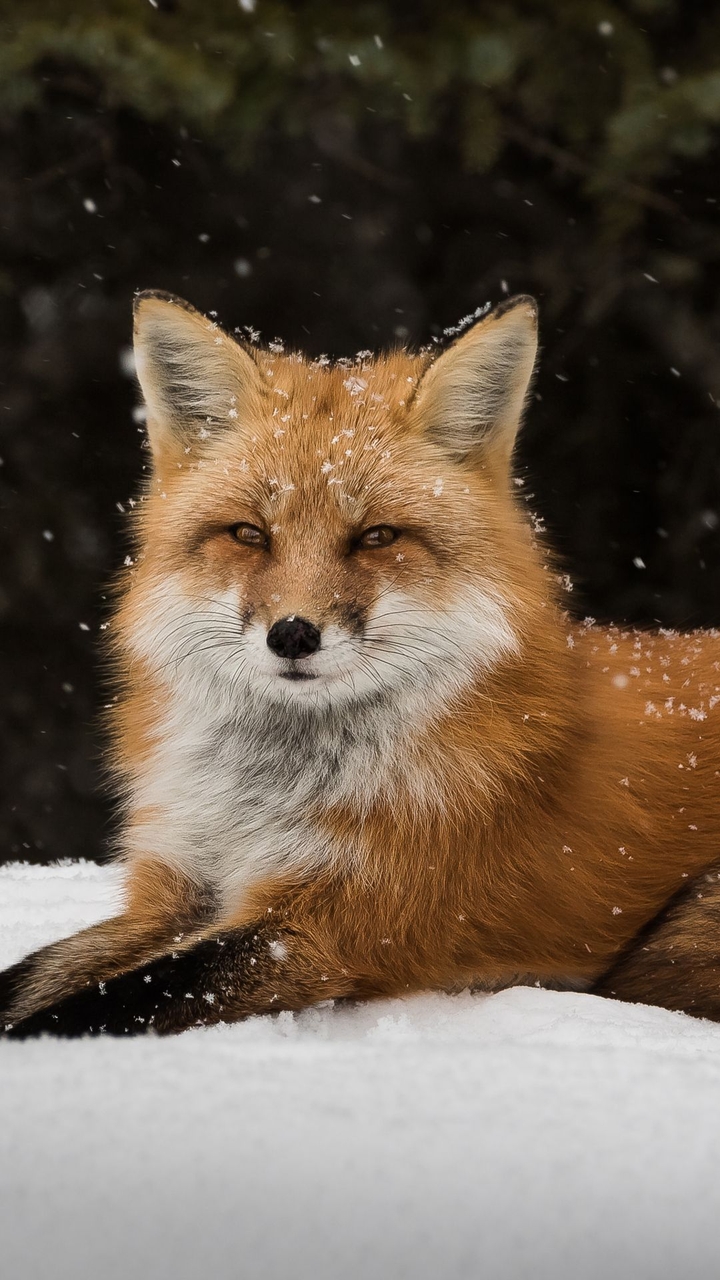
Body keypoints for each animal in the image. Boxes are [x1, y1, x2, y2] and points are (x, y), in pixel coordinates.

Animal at [2, 289, 720, 1038]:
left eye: (375, 537)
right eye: (249, 534)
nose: (292, 634)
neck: (261, 798)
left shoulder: (329, 925)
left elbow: (111, 1000)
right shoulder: (176, 889)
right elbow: (33, 974)